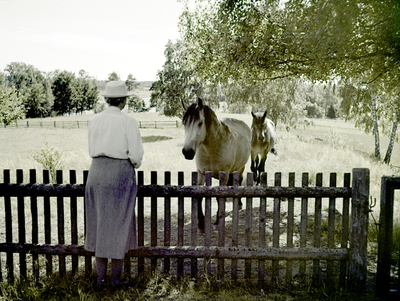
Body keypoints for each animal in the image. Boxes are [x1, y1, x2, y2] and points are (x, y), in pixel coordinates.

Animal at [181, 97, 250, 231]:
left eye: (200, 123)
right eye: (184, 122)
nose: (187, 152)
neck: (212, 147)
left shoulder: (224, 174)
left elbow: (219, 196)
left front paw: (218, 221)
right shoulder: (201, 173)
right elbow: (200, 196)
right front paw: (201, 224)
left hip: (240, 168)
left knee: (239, 181)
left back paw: (239, 204)